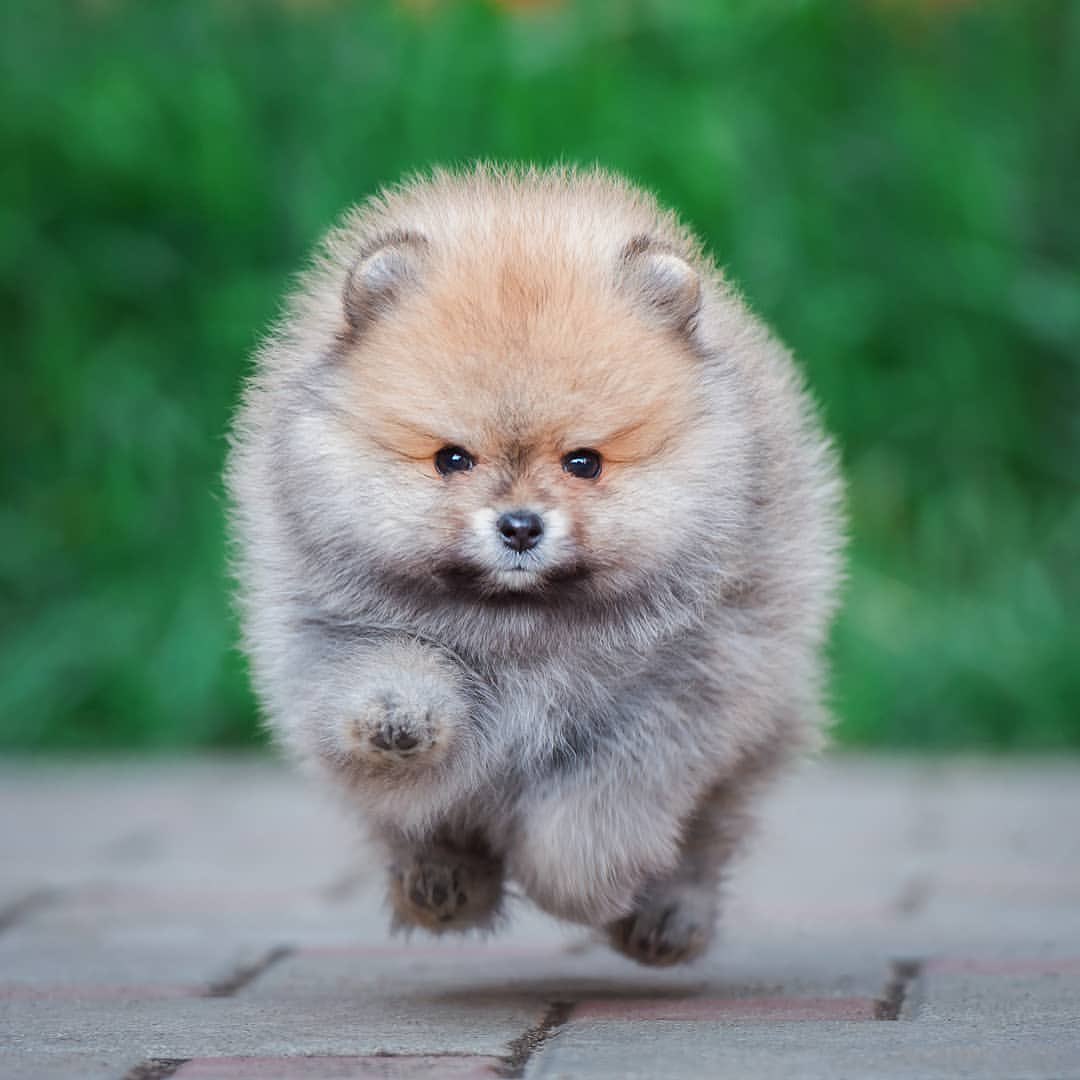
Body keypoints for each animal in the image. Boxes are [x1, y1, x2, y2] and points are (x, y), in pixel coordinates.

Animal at [227, 164, 842, 967]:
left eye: (583, 463)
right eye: (452, 459)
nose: (520, 526)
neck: (522, 631)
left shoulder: (683, 692)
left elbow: (599, 811)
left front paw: (583, 884)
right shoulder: (325, 636)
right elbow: (380, 682)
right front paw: (400, 716)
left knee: (709, 833)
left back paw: (665, 917)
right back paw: (442, 882)